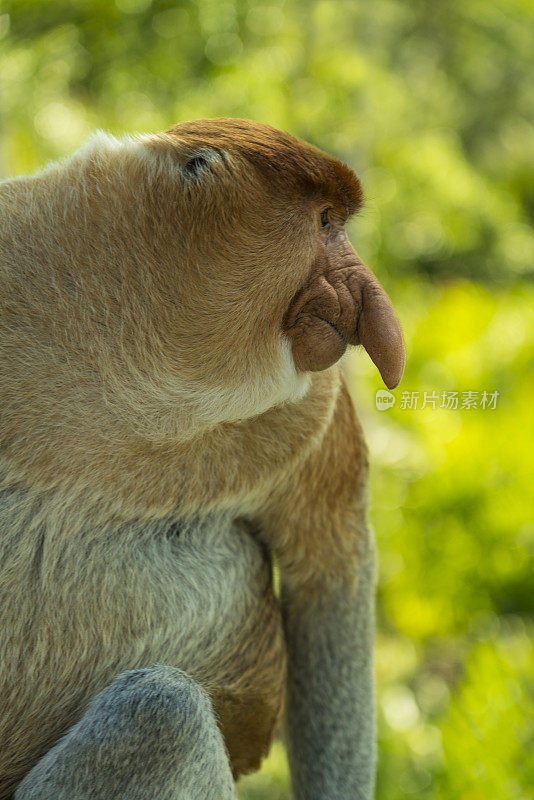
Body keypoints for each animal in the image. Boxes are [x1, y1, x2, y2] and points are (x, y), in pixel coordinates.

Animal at [0, 119, 406, 800]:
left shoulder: (313, 410)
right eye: (325, 222)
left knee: (161, 713)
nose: (366, 291)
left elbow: (330, 570)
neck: (137, 369)